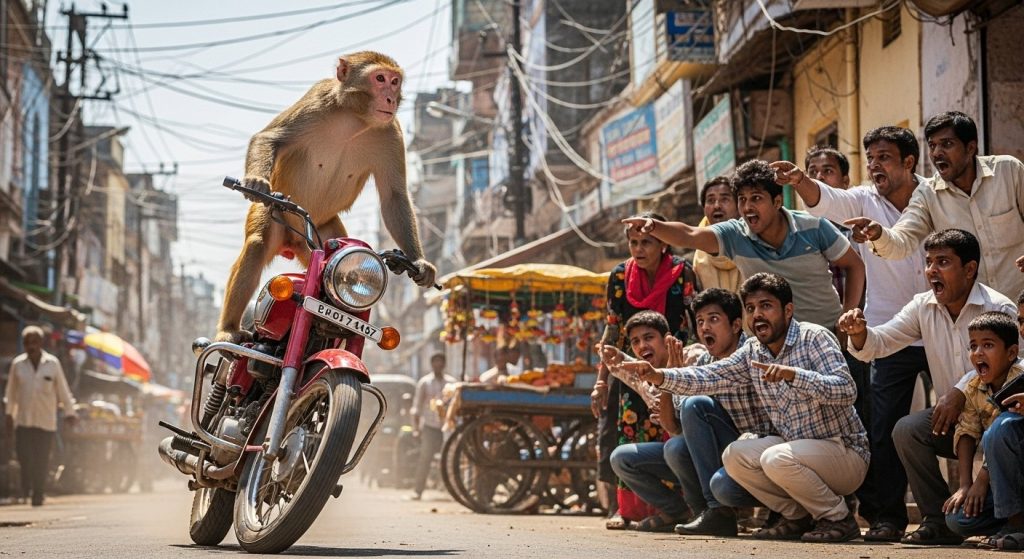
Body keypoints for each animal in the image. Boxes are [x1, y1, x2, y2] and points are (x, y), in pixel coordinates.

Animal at [215, 51, 437, 343]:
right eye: (379, 79)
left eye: (394, 81)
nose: (390, 98)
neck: (355, 118)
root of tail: (293, 243)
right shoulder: (317, 100)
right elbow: (269, 138)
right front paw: (256, 182)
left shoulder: (391, 131)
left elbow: (394, 196)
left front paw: (419, 263)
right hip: (276, 212)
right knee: (257, 244)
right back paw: (228, 329)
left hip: (323, 233)